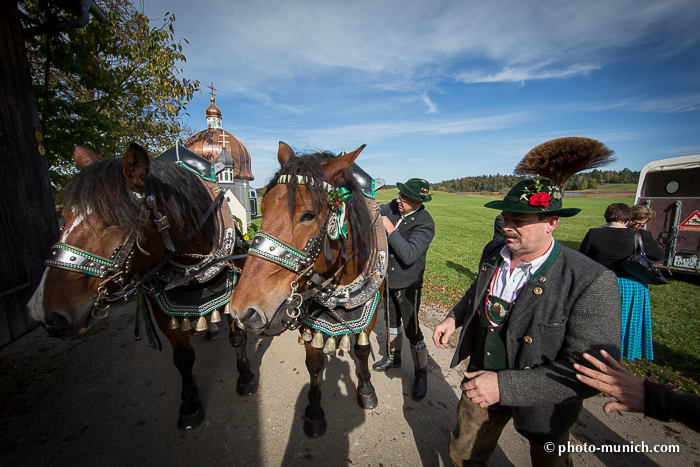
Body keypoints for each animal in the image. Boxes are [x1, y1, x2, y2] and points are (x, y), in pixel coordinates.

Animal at [28, 143, 258, 432]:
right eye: (66, 214)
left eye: (113, 219)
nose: (42, 311)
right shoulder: (160, 308)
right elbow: (183, 357)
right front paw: (190, 404)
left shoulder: (233, 294)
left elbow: (238, 339)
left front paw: (246, 377)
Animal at [230, 143, 386, 438]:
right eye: (262, 207)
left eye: (309, 215)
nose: (242, 310)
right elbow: (314, 363)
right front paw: (314, 412)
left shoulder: (369, 315)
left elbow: (362, 351)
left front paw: (366, 389)